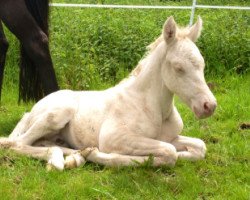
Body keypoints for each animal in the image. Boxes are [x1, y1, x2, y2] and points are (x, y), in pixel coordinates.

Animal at [0, 16, 217, 170]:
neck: (151, 107)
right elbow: (169, 153)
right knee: (16, 144)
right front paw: (98, 155)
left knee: (34, 144)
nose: (209, 106)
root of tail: (32, 109)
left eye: (202, 64)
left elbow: (199, 147)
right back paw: (63, 159)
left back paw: (75, 156)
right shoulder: (113, 137)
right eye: (178, 67)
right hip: (58, 114)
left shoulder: (170, 137)